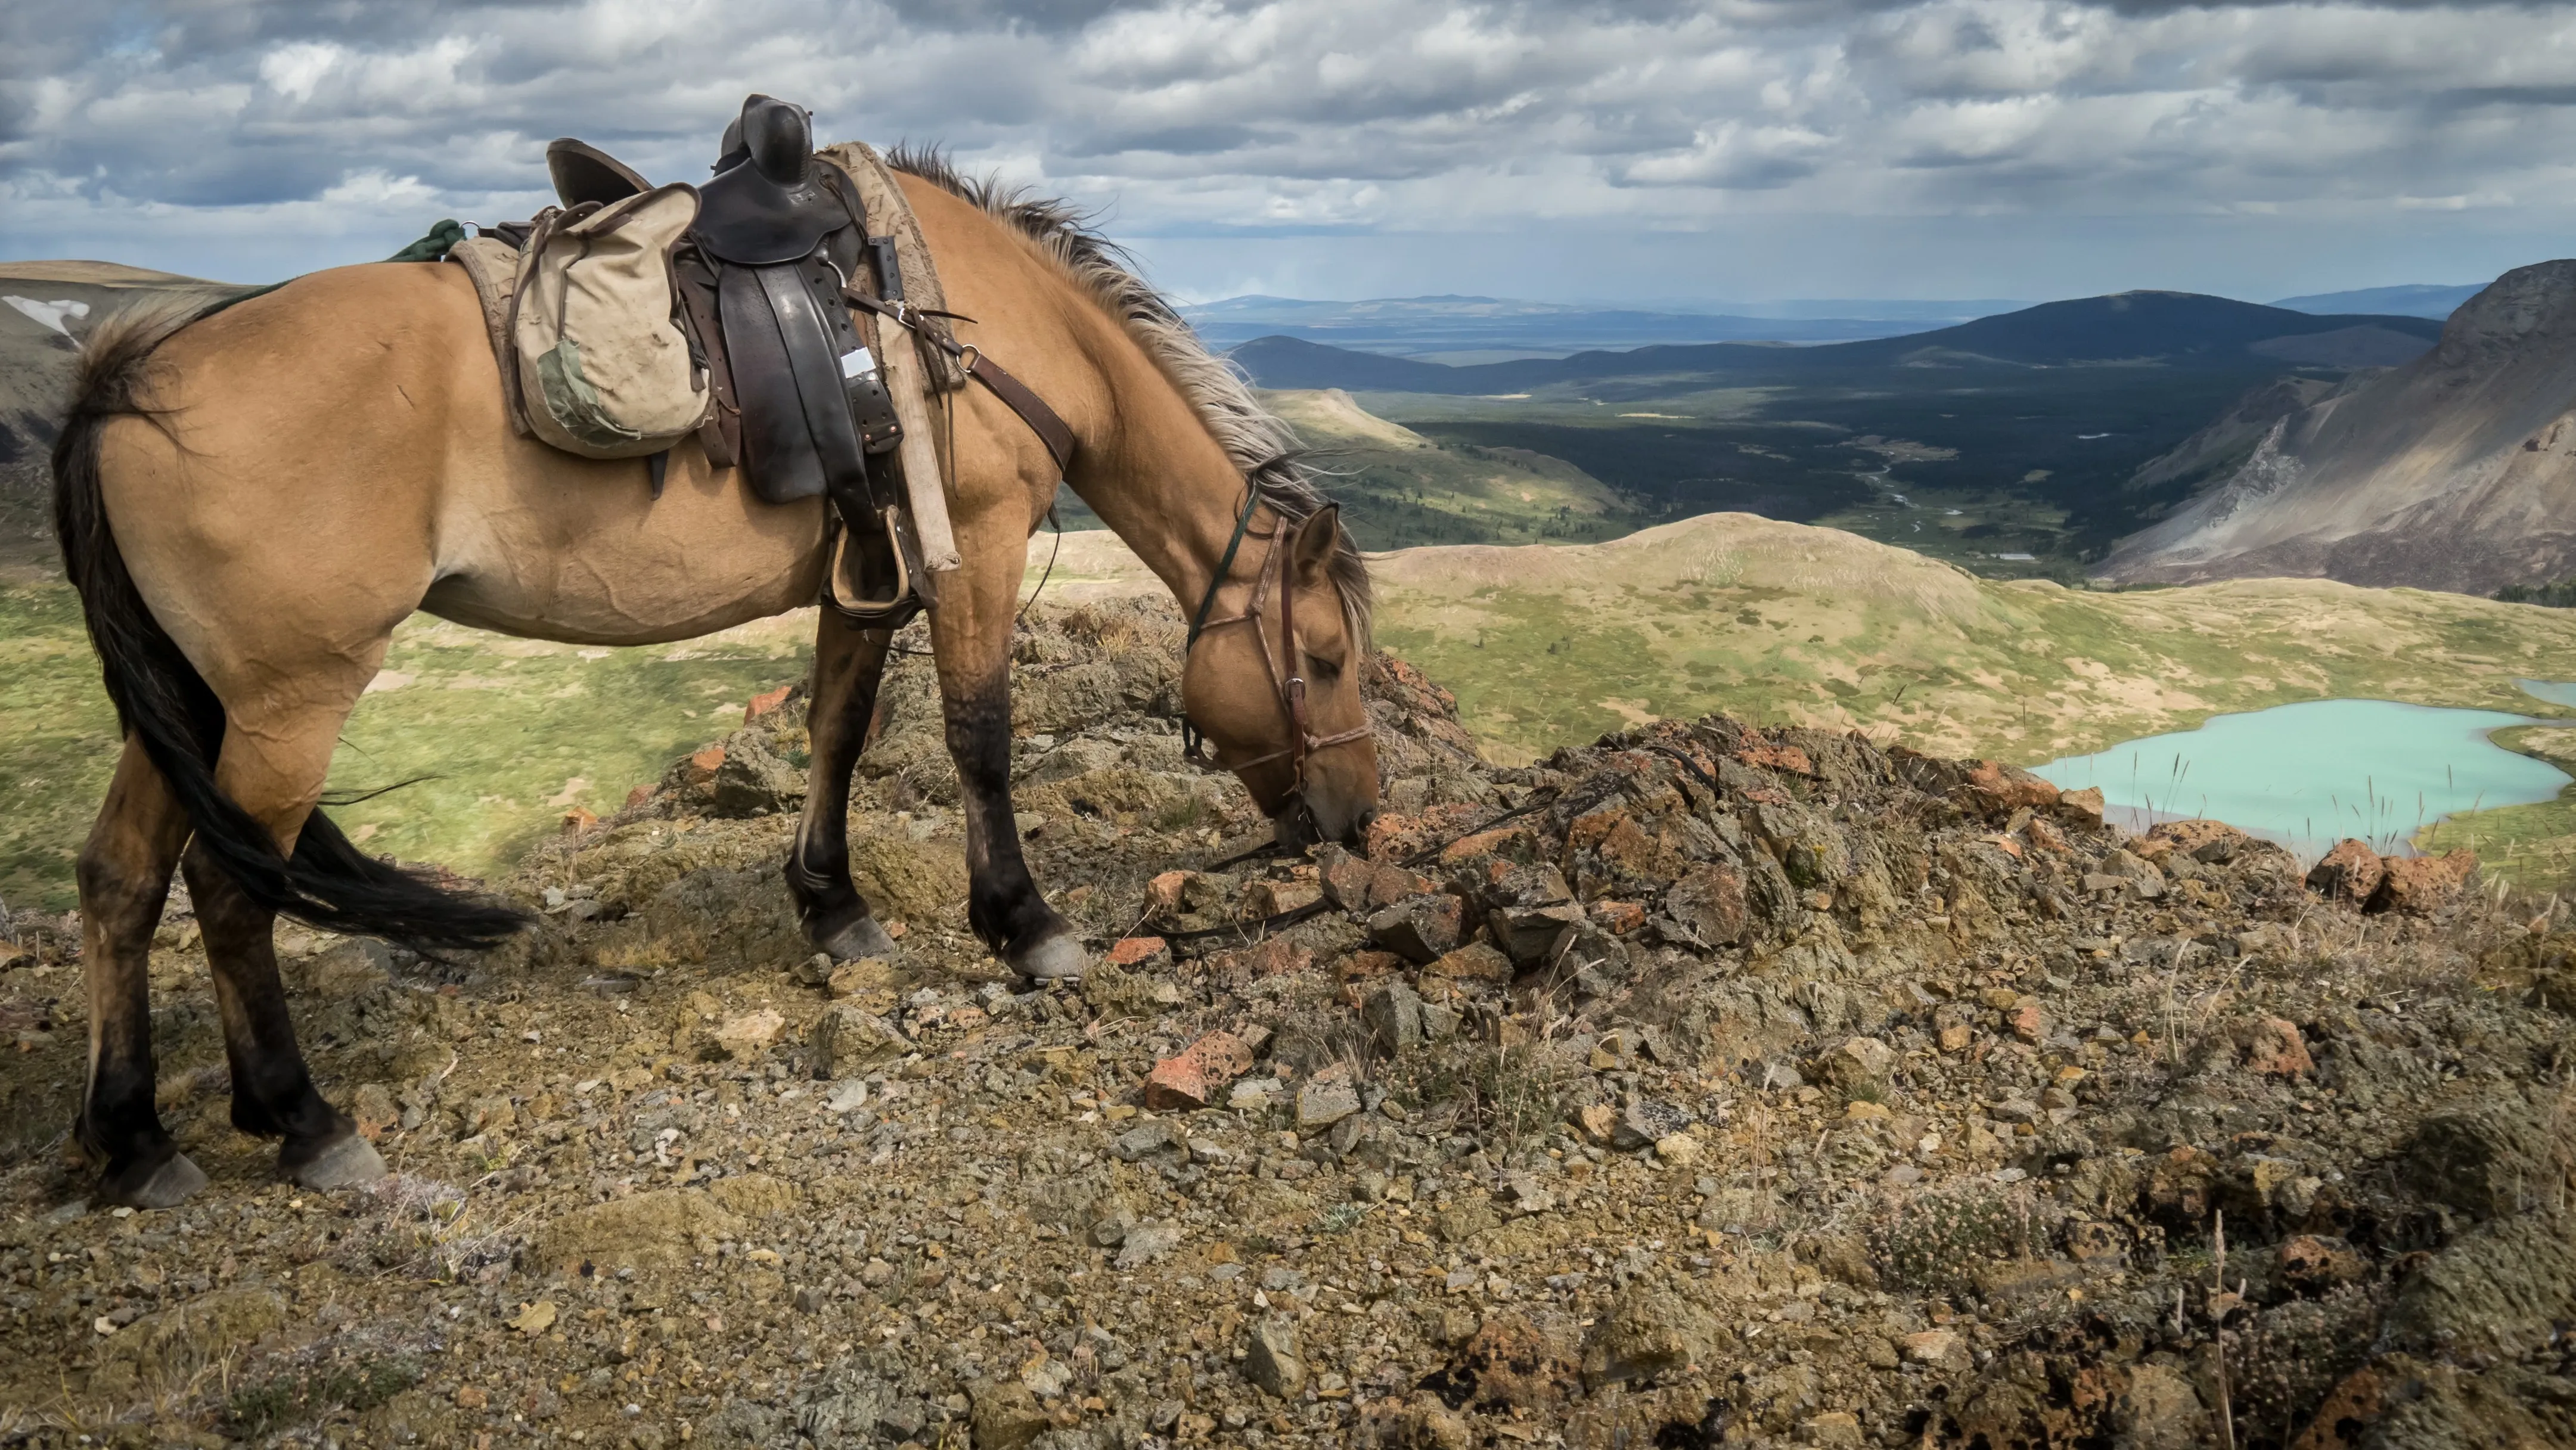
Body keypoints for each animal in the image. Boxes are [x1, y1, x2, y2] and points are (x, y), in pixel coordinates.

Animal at [49, 150, 1381, 1209]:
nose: (1357, 819)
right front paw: (1026, 924)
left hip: (198, 700)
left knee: (120, 877)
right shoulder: (977, 547)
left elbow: (839, 729)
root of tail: (125, 384)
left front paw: (834, 908)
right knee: (230, 893)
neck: (984, 326)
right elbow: (979, 737)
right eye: (1322, 658)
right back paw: (305, 1121)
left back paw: (134, 1139)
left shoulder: (868, 570)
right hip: (289, 699)